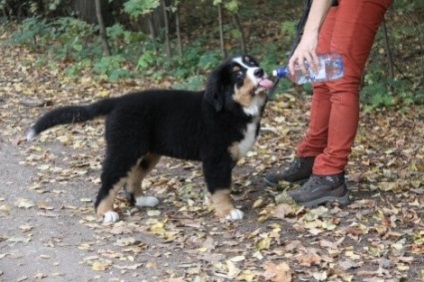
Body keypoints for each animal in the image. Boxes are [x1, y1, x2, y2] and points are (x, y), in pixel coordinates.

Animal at [26, 54, 274, 223]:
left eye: (251, 63)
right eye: (238, 74)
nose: (260, 71)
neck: (234, 109)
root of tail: (117, 101)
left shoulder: (226, 159)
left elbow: (217, 185)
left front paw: (210, 202)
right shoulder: (216, 157)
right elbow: (221, 187)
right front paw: (227, 211)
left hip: (147, 153)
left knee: (133, 179)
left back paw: (142, 200)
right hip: (125, 148)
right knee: (110, 179)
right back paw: (105, 212)